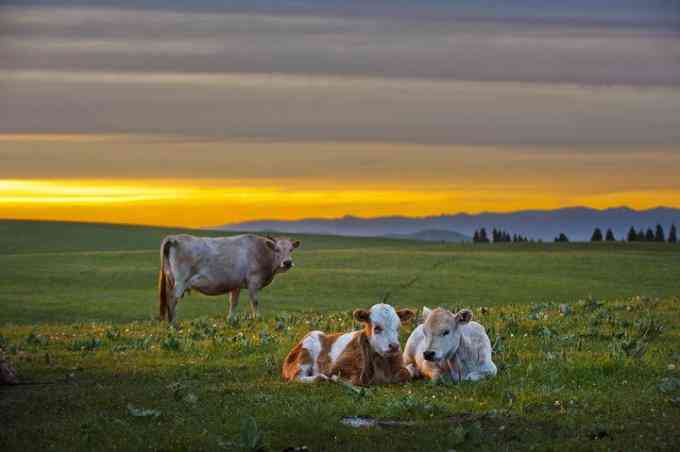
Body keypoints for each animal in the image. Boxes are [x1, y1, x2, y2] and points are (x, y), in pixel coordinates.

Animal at [159, 235, 300, 324]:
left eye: (291, 249)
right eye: (277, 249)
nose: (287, 262)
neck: (261, 251)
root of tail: (174, 238)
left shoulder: (236, 285)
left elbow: (233, 302)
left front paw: (231, 320)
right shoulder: (254, 282)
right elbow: (254, 302)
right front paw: (257, 318)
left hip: (171, 280)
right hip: (180, 282)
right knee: (173, 299)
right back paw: (173, 324)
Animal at [282, 304, 414, 384]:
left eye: (398, 328)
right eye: (377, 328)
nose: (394, 346)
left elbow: (406, 374)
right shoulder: (337, 368)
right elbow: (352, 379)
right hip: (305, 354)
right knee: (297, 377)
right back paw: (321, 377)